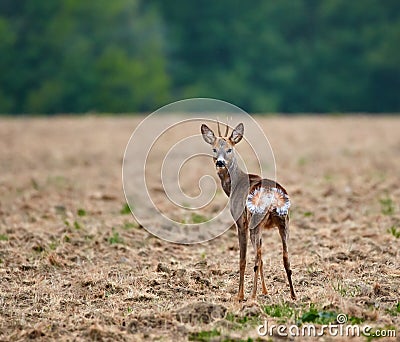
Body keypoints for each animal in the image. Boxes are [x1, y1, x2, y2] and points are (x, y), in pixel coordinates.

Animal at [202, 121, 296, 300]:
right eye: (214, 149)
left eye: (229, 149)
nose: (220, 162)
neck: (234, 185)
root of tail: (272, 196)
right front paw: (265, 291)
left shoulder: (240, 221)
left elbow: (242, 259)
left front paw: (240, 295)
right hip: (284, 221)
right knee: (285, 257)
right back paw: (294, 296)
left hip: (255, 220)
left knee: (256, 259)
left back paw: (251, 297)